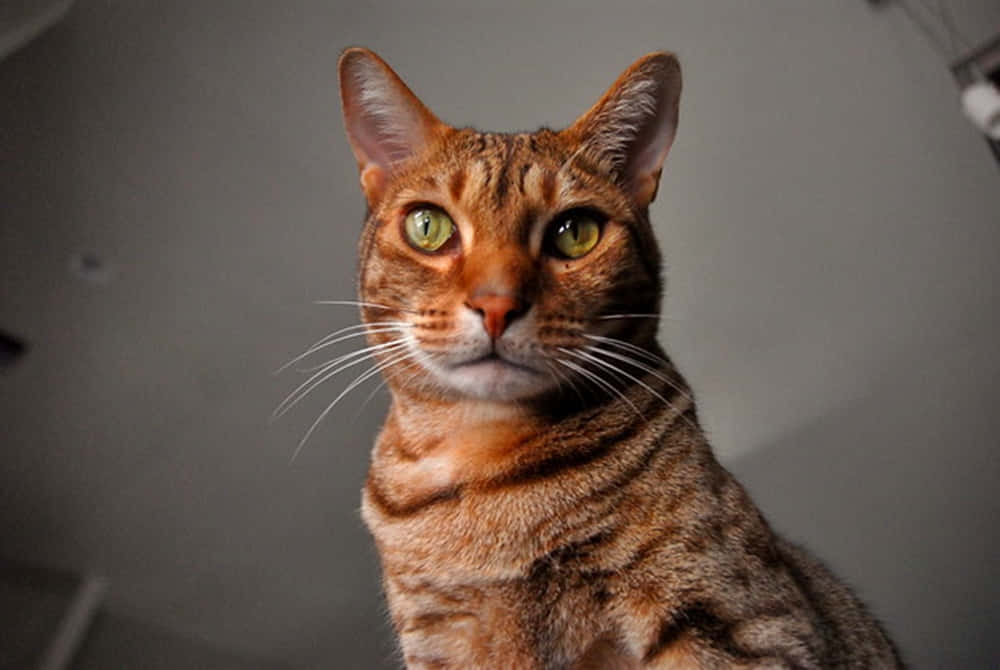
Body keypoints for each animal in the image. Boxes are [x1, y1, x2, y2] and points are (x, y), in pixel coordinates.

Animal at [332, 47, 904, 670]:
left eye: (575, 232)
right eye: (428, 226)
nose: (496, 305)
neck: (484, 468)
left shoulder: (740, 619)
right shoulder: (439, 639)